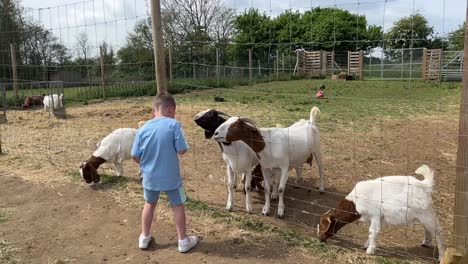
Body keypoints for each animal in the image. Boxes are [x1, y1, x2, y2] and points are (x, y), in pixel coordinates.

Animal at [318, 165, 446, 260]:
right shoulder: (373, 217)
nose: (319, 239)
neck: (355, 202)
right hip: (422, 215)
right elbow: (371, 232)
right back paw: (426, 243)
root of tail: (425, 185)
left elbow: (373, 231)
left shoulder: (375, 214)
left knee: (438, 231)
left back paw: (441, 256)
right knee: (428, 229)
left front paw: (370, 250)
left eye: (323, 225)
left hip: (426, 212)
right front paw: (367, 245)